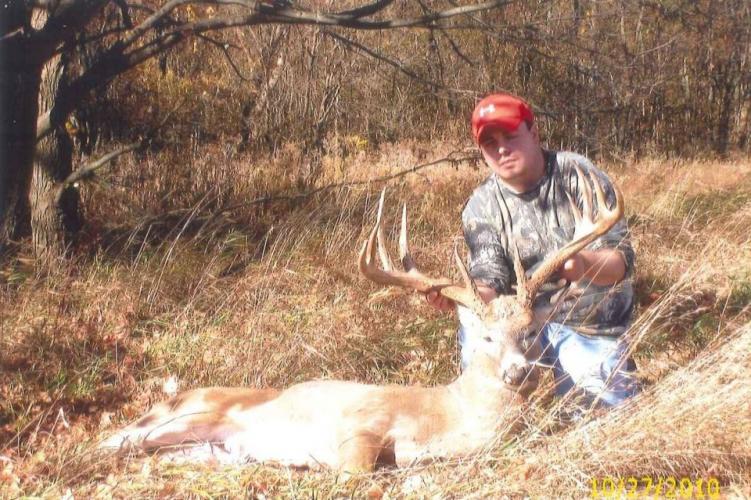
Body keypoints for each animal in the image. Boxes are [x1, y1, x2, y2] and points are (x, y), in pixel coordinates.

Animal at [100, 166, 623, 473]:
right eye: (487, 337)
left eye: (530, 331)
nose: (517, 371)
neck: (452, 414)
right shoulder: (362, 422)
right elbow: (358, 470)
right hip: (192, 413)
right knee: (116, 439)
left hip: (204, 446)